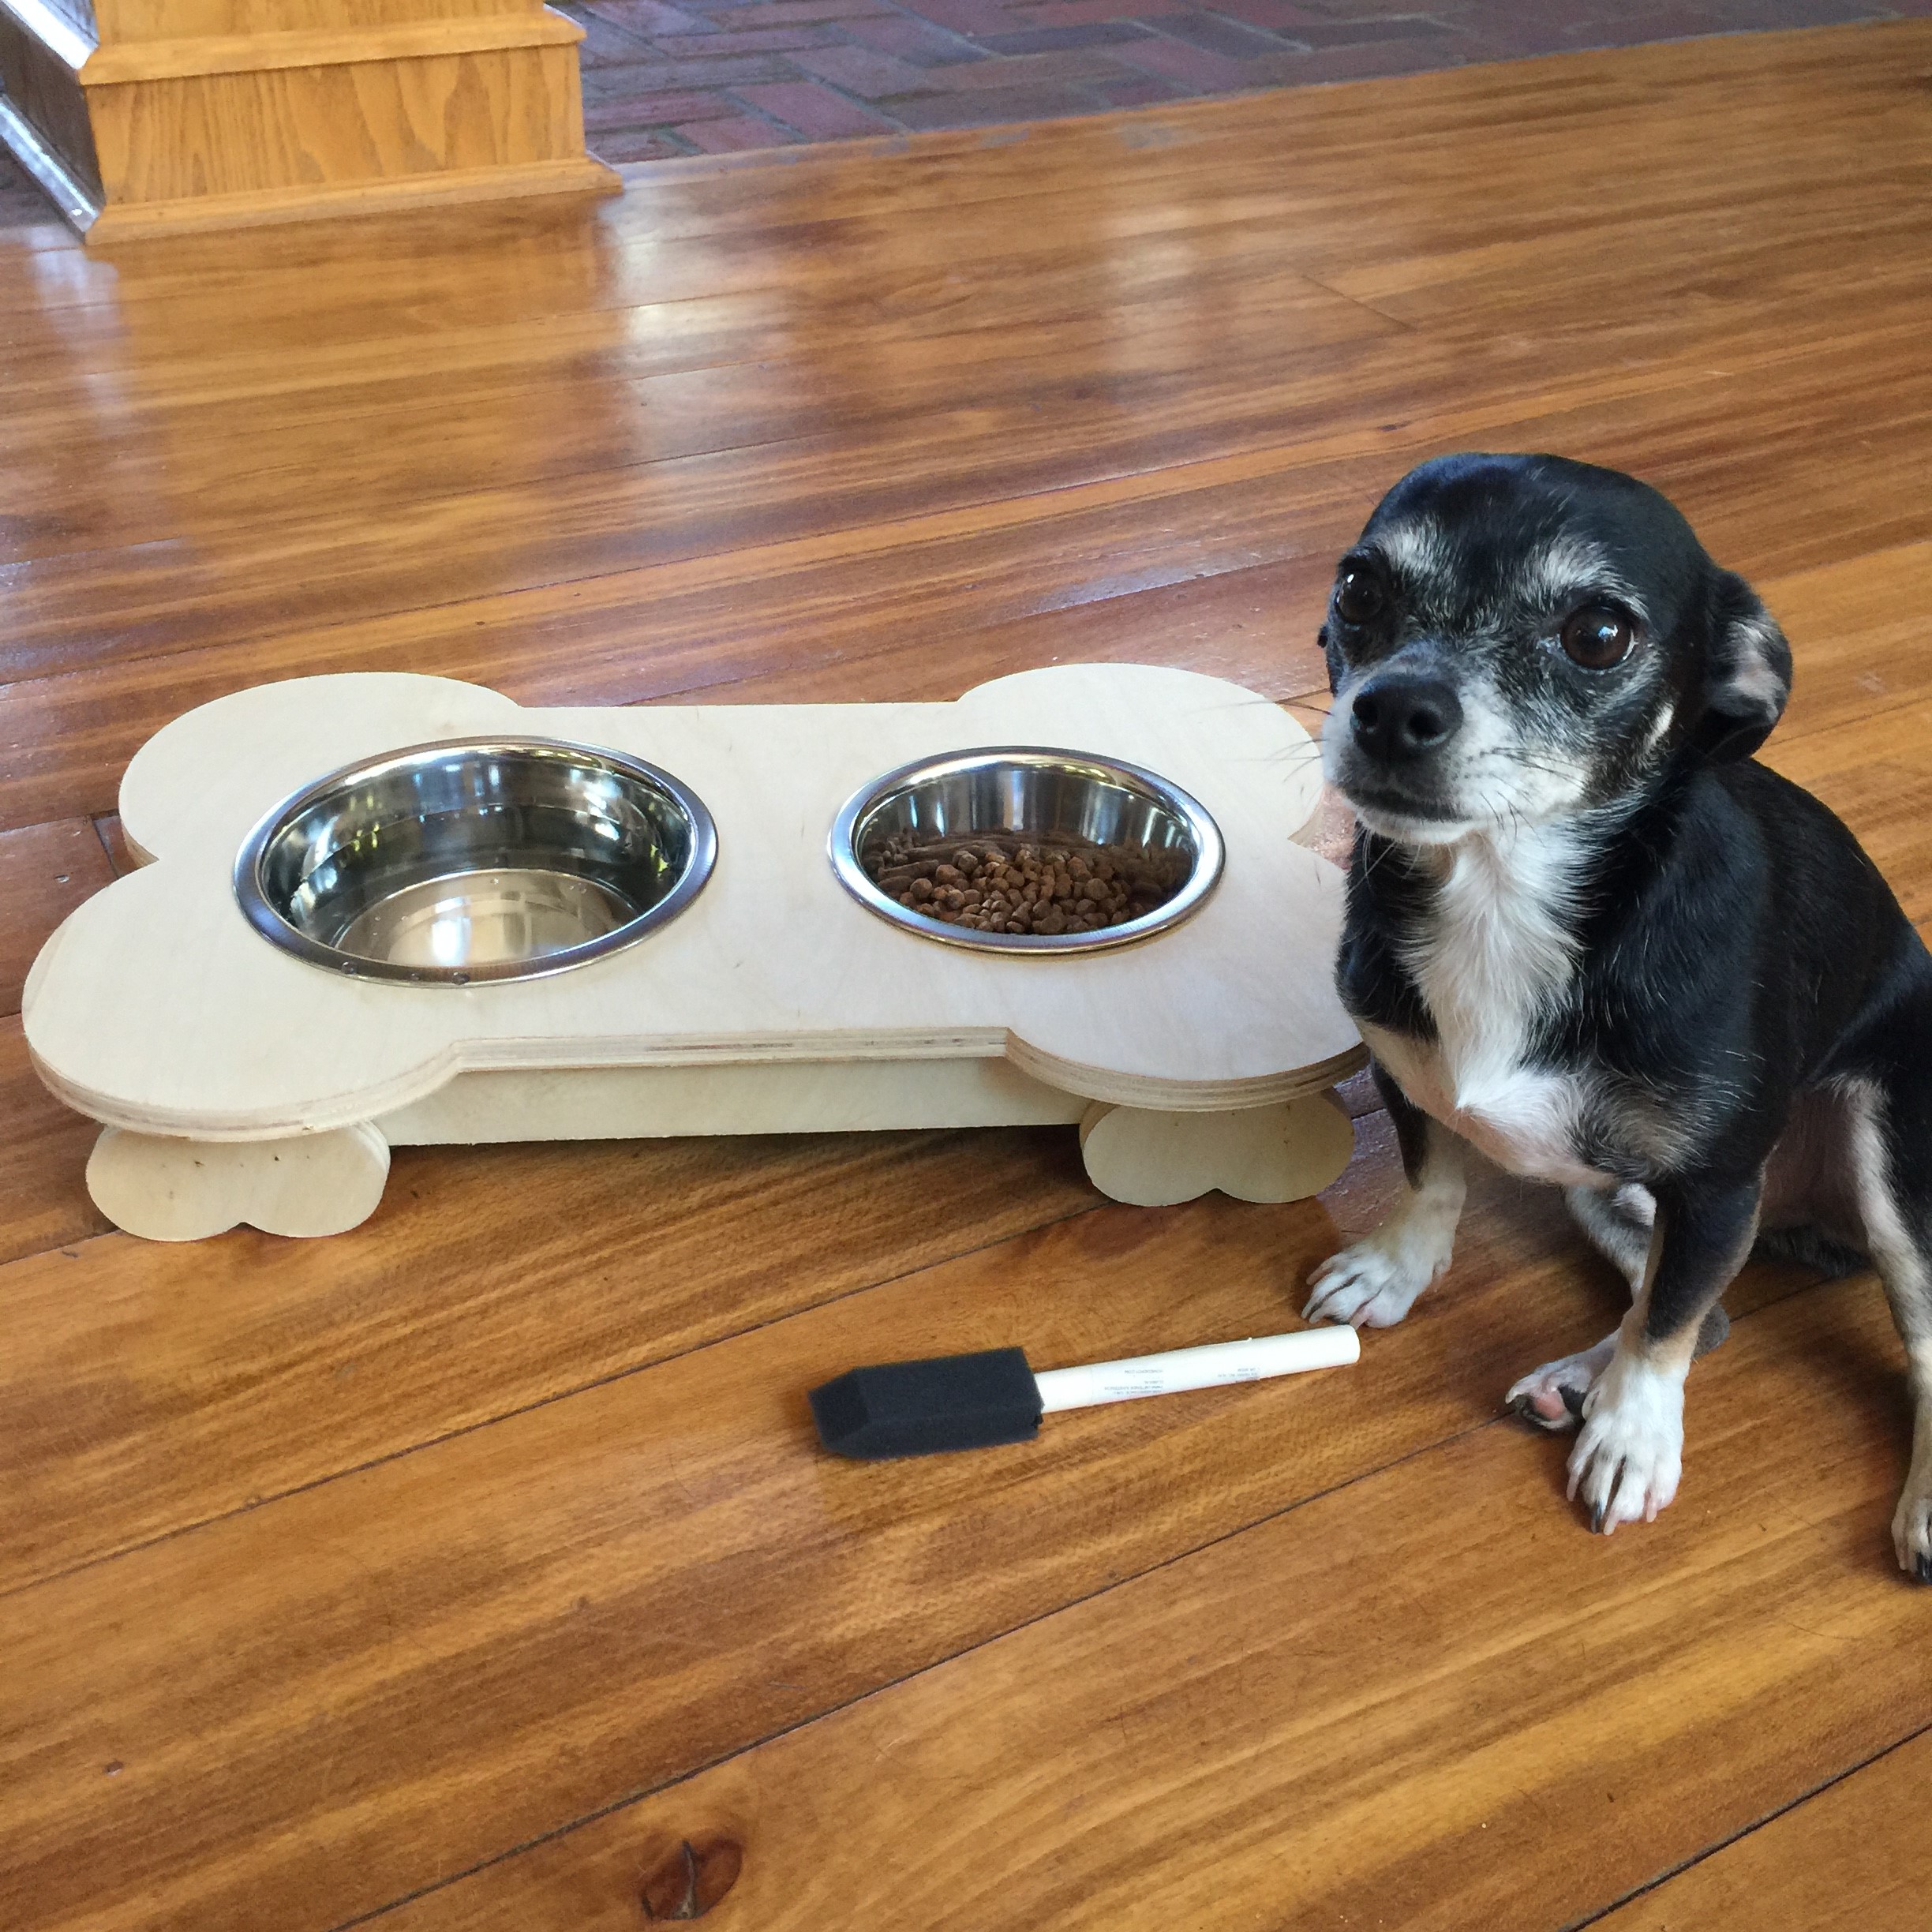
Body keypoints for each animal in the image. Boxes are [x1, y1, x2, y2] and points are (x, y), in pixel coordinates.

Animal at [1301, 451, 1932, 1580]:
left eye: (1598, 634)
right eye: (1361, 590)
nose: (1392, 707)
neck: (1504, 892)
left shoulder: (1716, 1191)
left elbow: (1664, 1330)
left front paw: (1634, 1435)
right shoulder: (1406, 1079)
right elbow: (1431, 1181)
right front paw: (1395, 1271)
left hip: (1891, 1168)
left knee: (1890, 1340)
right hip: (1609, 1191)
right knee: (1709, 1312)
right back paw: (1572, 1383)